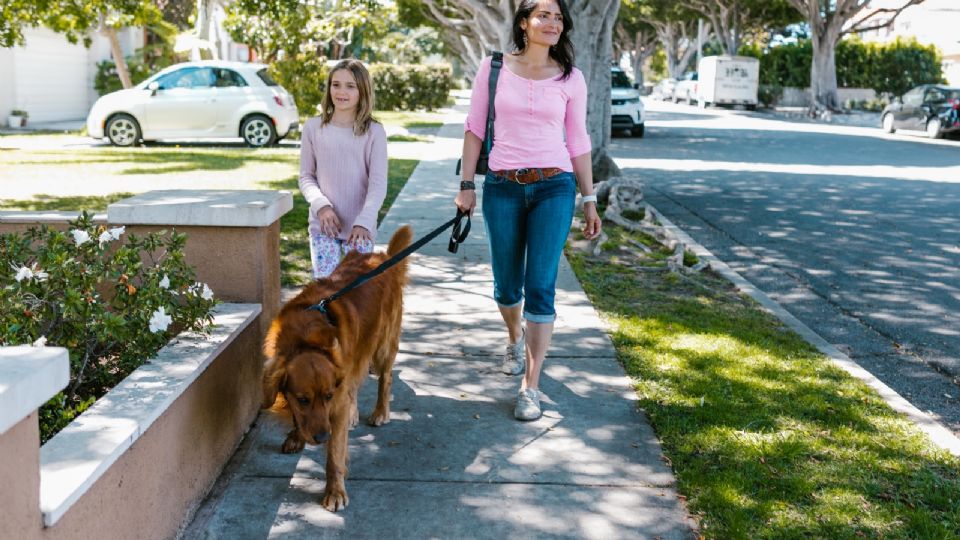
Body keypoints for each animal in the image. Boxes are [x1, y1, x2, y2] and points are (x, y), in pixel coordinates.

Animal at [262, 226, 412, 512]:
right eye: (303, 399)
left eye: (328, 396)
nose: (322, 436)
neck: (304, 339)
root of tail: (382, 257)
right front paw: (297, 435)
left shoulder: (336, 403)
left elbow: (335, 455)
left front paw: (335, 492)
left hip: (382, 346)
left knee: (385, 378)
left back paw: (380, 412)